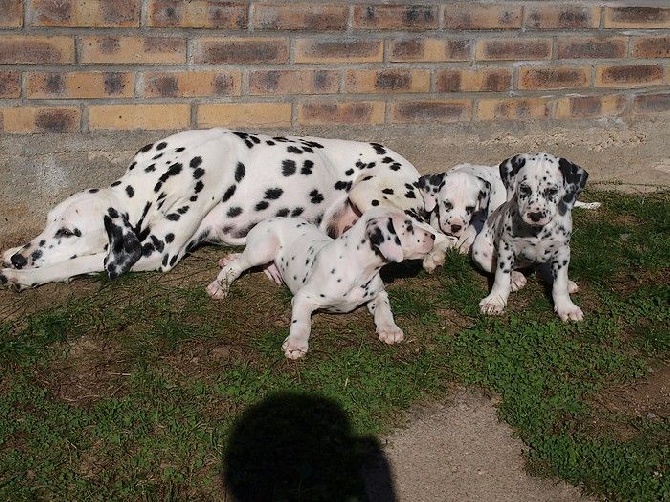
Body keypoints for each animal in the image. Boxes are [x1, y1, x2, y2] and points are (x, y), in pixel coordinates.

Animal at [2, 127, 452, 288]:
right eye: (48, 223)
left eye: (70, 232)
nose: (23, 257)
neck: (166, 168)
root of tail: (414, 171)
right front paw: (10, 256)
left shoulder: (158, 252)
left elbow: (84, 261)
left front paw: (25, 275)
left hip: (368, 193)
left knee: (435, 233)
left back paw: (433, 256)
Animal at [206, 207, 436, 356]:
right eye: (408, 227)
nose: (433, 236)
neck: (359, 269)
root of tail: (265, 221)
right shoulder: (303, 298)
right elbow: (302, 323)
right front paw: (296, 344)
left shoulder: (378, 294)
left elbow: (384, 310)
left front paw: (389, 329)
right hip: (262, 249)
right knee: (236, 266)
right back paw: (219, 286)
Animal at [470, 151, 592, 322]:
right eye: (524, 189)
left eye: (552, 191)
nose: (535, 215)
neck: (538, 230)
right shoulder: (506, 247)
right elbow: (501, 276)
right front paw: (495, 301)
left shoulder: (562, 251)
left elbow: (559, 283)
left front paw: (566, 307)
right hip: (479, 252)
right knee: (498, 268)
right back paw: (515, 278)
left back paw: (567, 283)